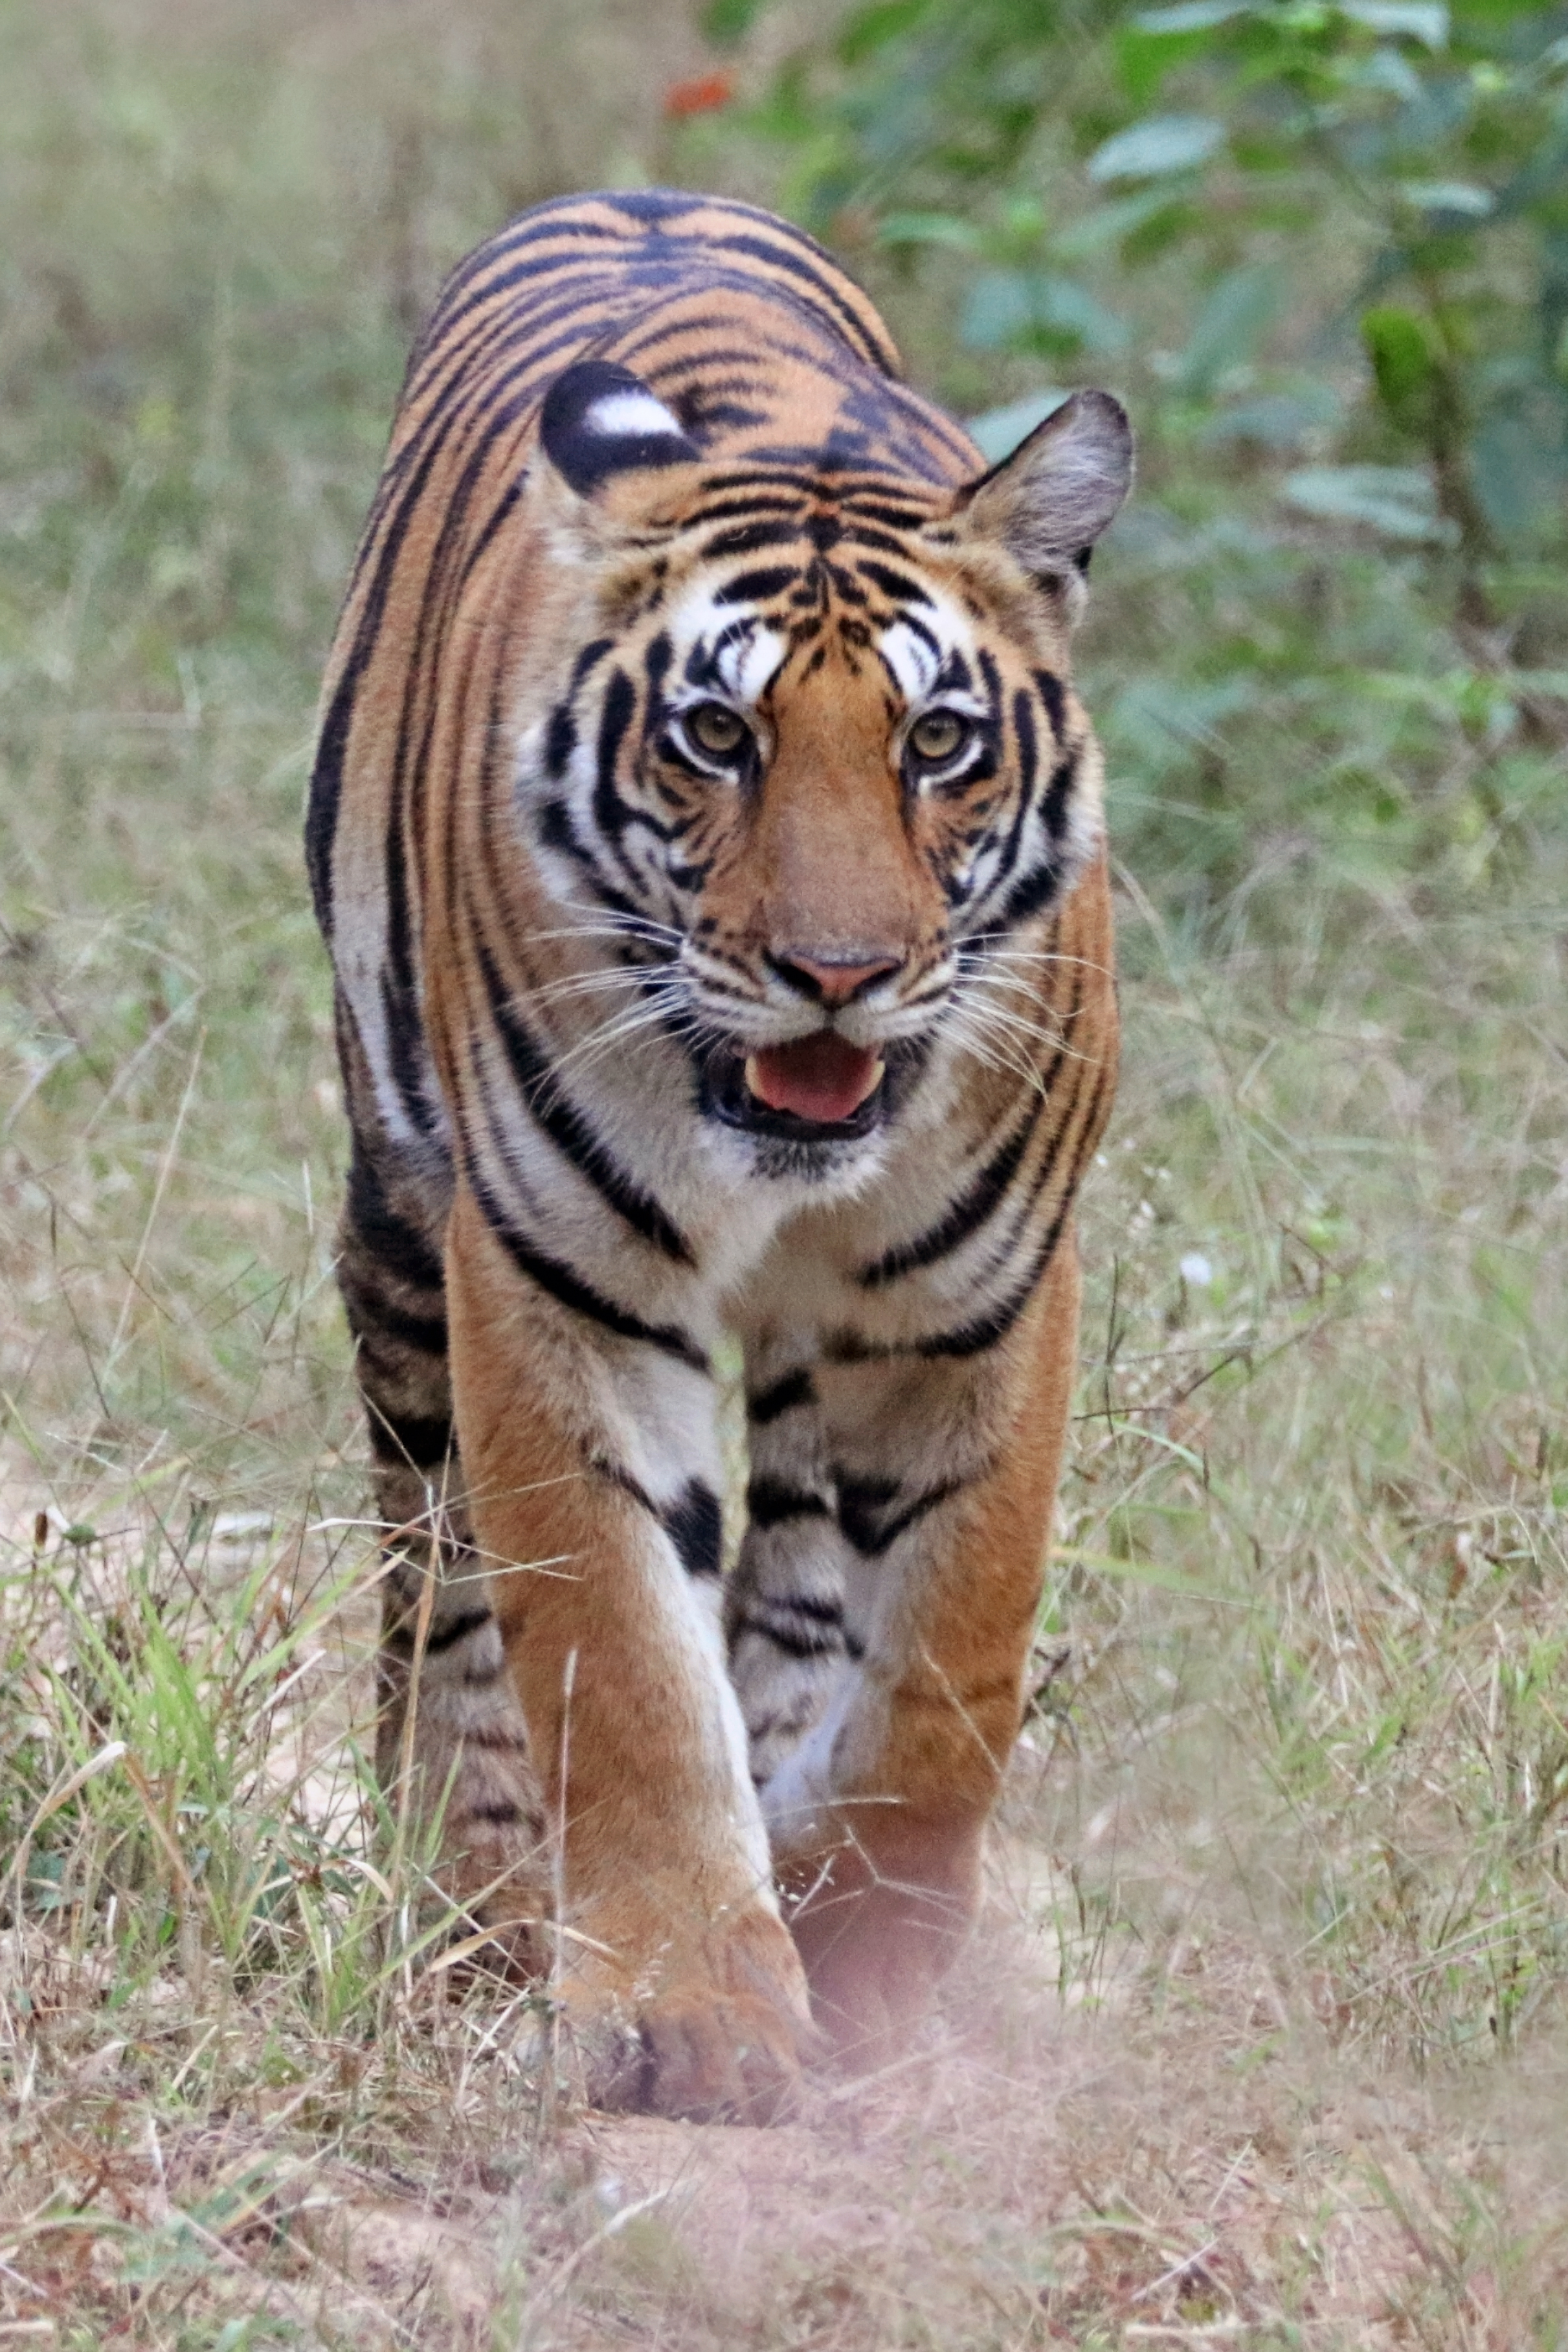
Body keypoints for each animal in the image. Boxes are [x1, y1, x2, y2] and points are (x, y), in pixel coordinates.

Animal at [306, 188, 1129, 2124]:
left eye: (936, 743)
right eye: (715, 736)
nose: (836, 973)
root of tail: (639, 196)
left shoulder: (976, 1306)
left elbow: (946, 1670)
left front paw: (868, 1957)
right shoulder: (563, 1288)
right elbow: (613, 1650)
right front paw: (688, 2007)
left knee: (809, 1578)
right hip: (400, 1236)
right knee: (437, 1585)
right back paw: (474, 1892)